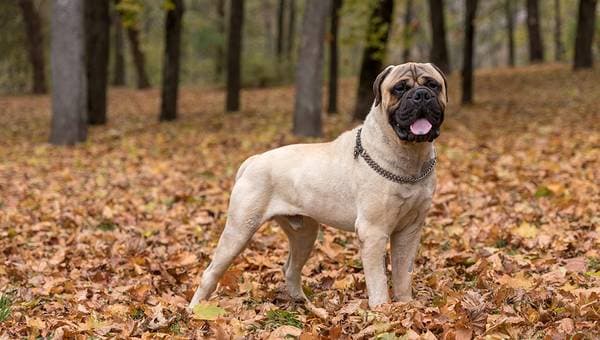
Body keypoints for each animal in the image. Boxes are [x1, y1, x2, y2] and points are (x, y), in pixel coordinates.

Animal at [190, 61, 448, 308]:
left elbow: (403, 275)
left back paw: (304, 304)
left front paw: (406, 307)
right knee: (210, 272)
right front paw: (382, 311)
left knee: (290, 269)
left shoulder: (410, 230)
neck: (411, 159)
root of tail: (253, 160)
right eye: (400, 88)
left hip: (304, 233)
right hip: (240, 230)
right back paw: (195, 310)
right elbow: (378, 282)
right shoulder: (373, 232)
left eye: (433, 85)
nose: (421, 95)